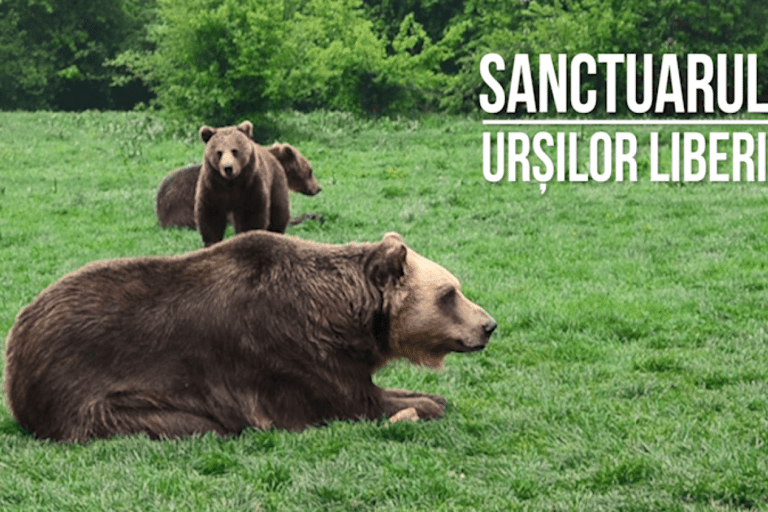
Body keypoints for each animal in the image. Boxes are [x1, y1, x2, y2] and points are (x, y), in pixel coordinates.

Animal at [4, 231, 498, 440]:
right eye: (450, 293)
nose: (488, 325)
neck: (342, 318)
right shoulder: (288, 351)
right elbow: (353, 402)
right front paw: (426, 405)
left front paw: (427, 397)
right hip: (90, 392)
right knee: (192, 424)